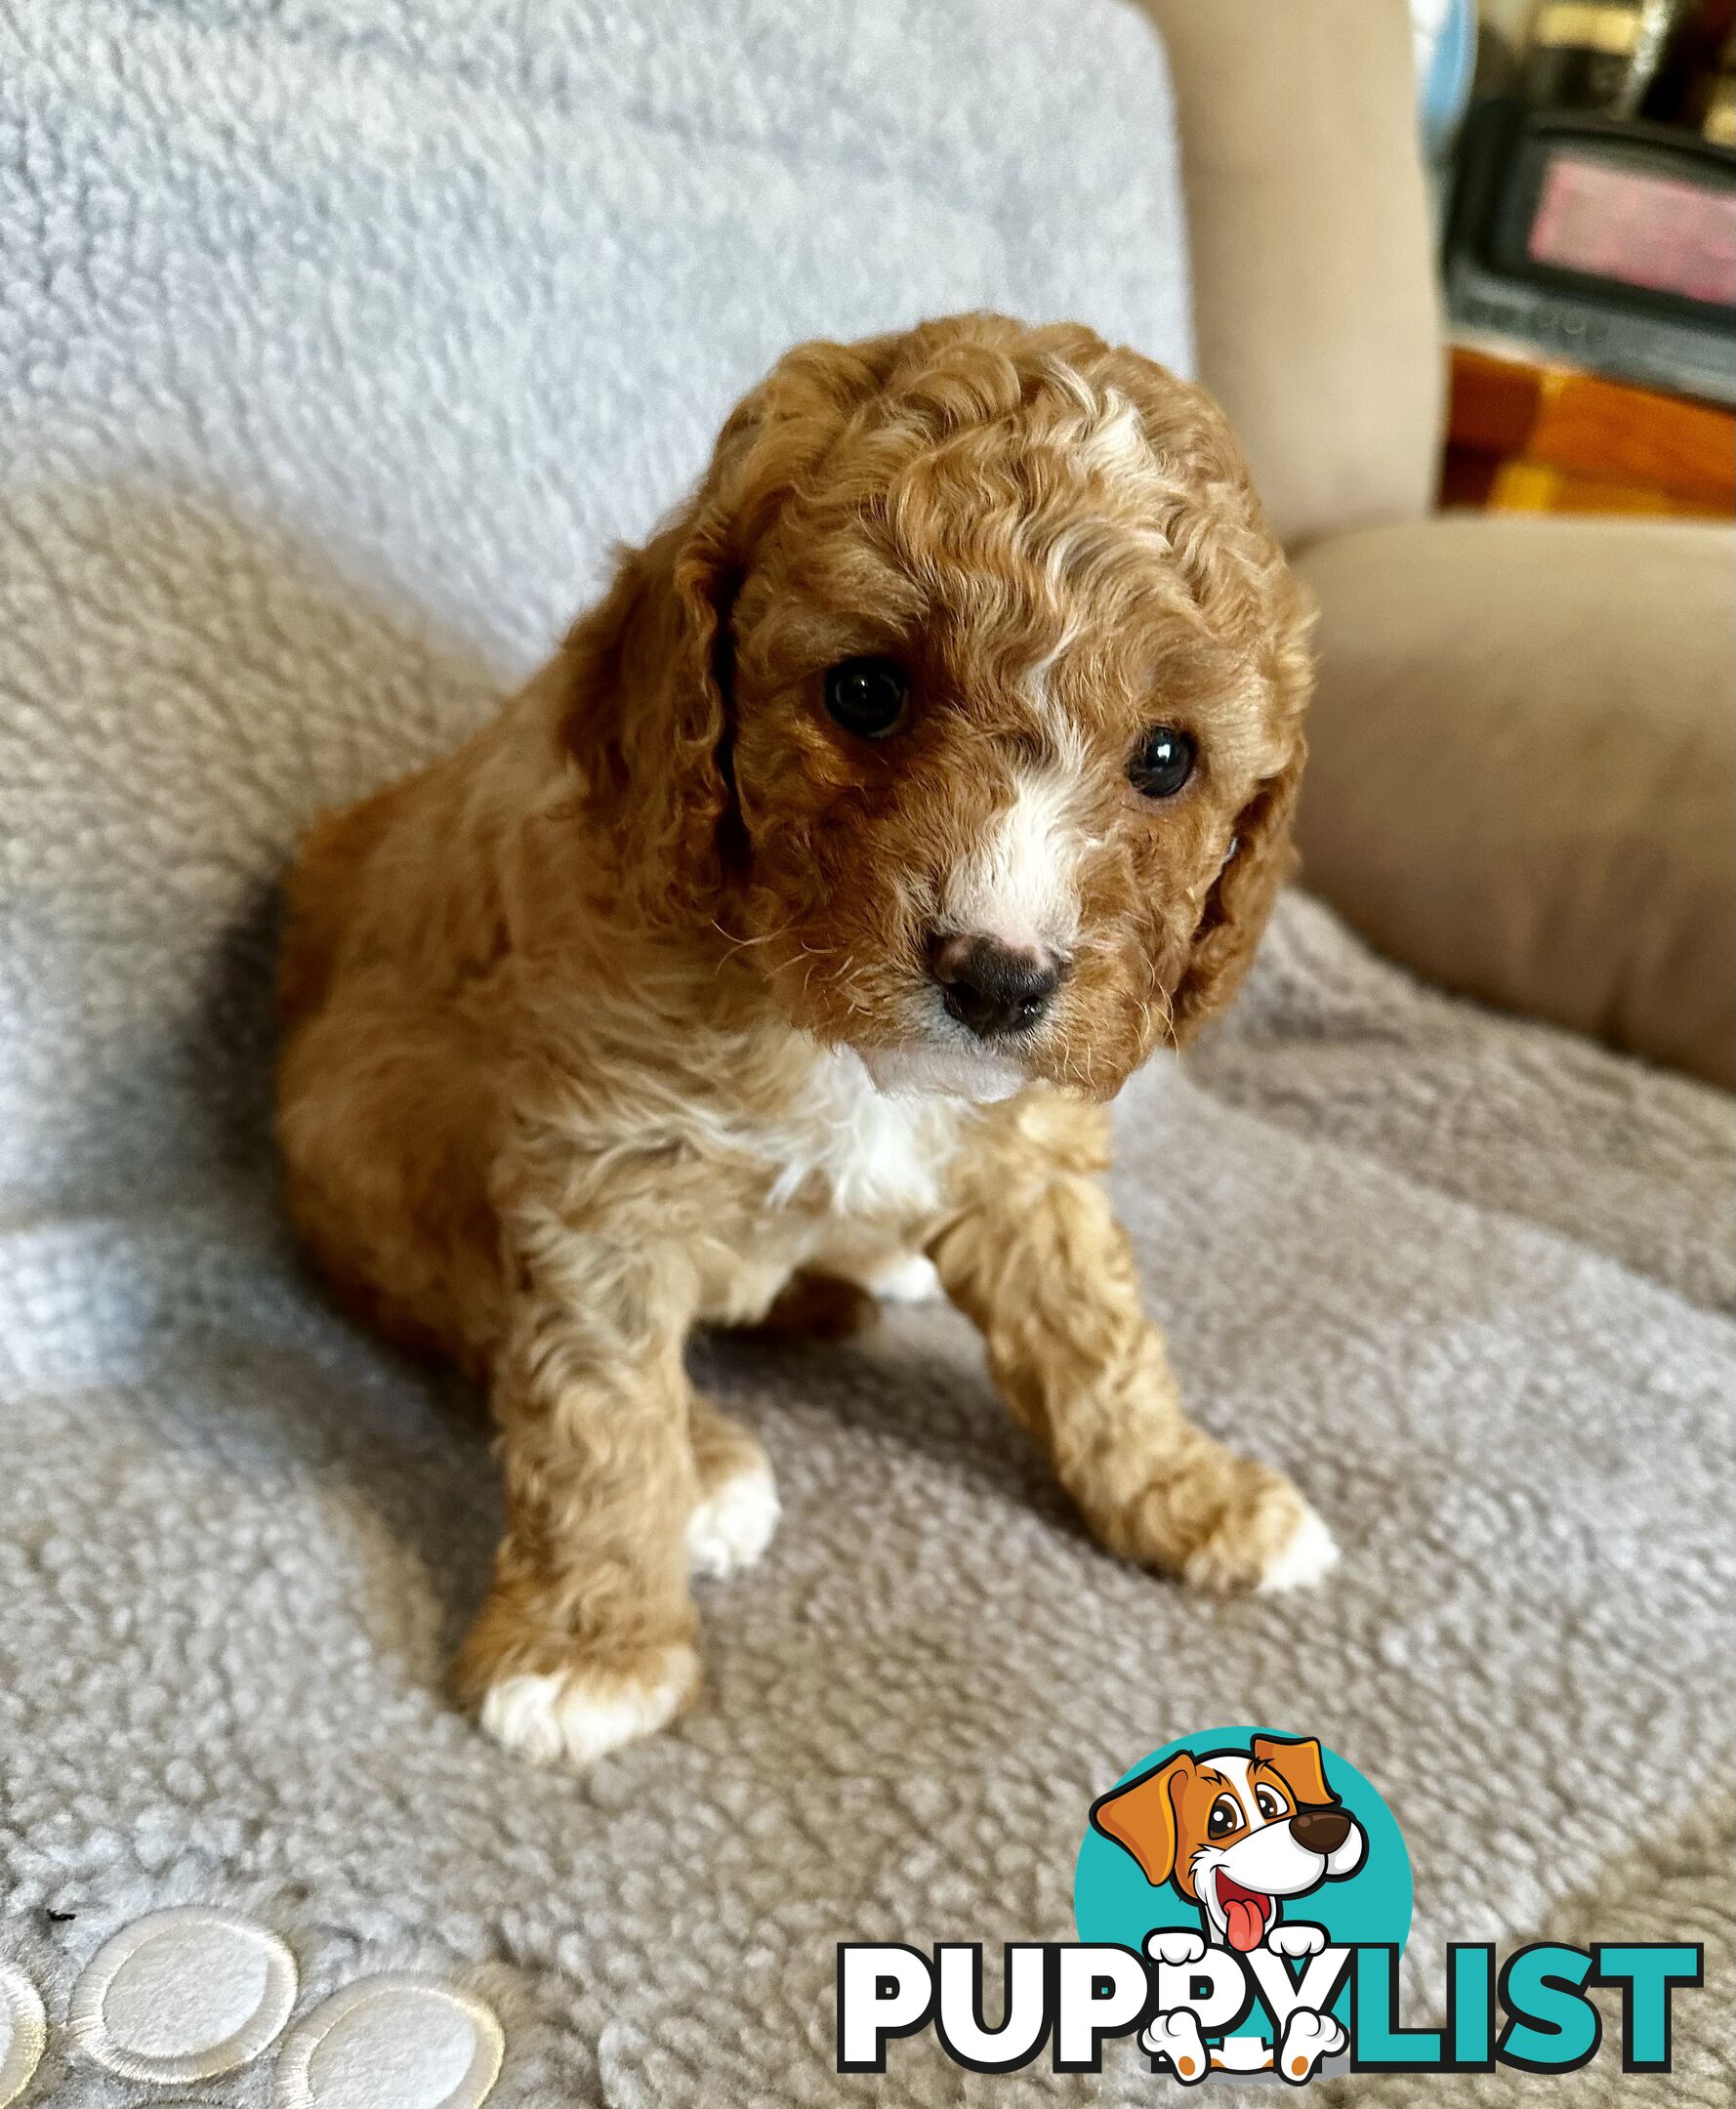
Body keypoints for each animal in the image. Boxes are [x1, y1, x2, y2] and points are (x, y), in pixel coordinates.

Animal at [278, 308, 1333, 1762]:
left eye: (1167, 759)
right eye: (864, 692)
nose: (998, 979)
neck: (831, 1037)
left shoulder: (1030, 1151)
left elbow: (1096, 1333)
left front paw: (1188, 1492)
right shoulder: (599, 1172)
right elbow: (592, 1405)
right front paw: (591, 1645)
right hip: (356, 1126)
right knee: (473, 1312)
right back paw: (709, 1465)